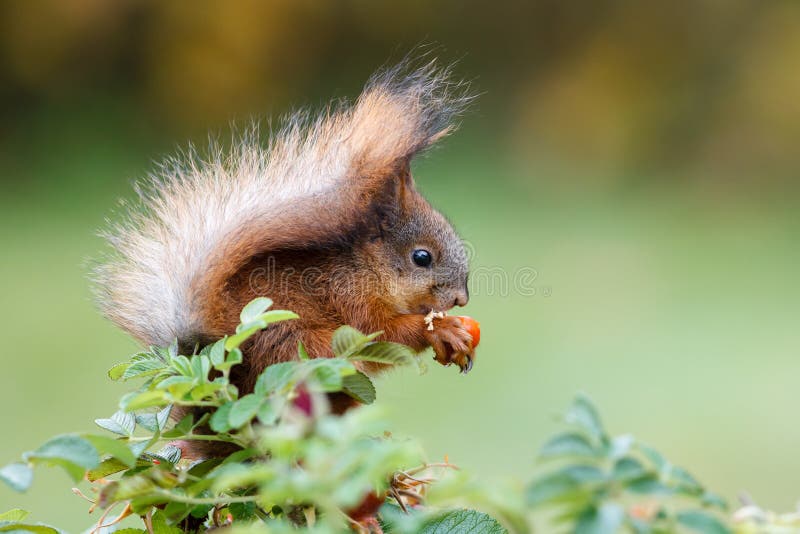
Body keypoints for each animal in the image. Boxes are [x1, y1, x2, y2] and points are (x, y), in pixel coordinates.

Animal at [92, 60, 477, 408]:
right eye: (421, 257)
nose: (461, 299)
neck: (366, 267)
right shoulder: (349, 296)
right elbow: (379, 333)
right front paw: (440, 330)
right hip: (297, 343)